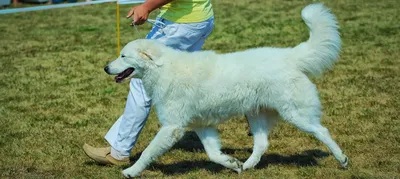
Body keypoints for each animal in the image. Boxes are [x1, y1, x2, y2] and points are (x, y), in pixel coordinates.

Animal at [104, 3, 348, 177]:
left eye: (123, 56)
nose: (106, 67)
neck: (163, 68)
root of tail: (289, 56)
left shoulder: (172, 127)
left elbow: (148, 152)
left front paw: (130, 171)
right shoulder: (202, 125)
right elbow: (213, 154)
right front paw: (232, 163)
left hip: (296, 114)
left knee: (322, 131)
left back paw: (342, 159)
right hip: (256, 114)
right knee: (262, 144)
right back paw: (247, 166)